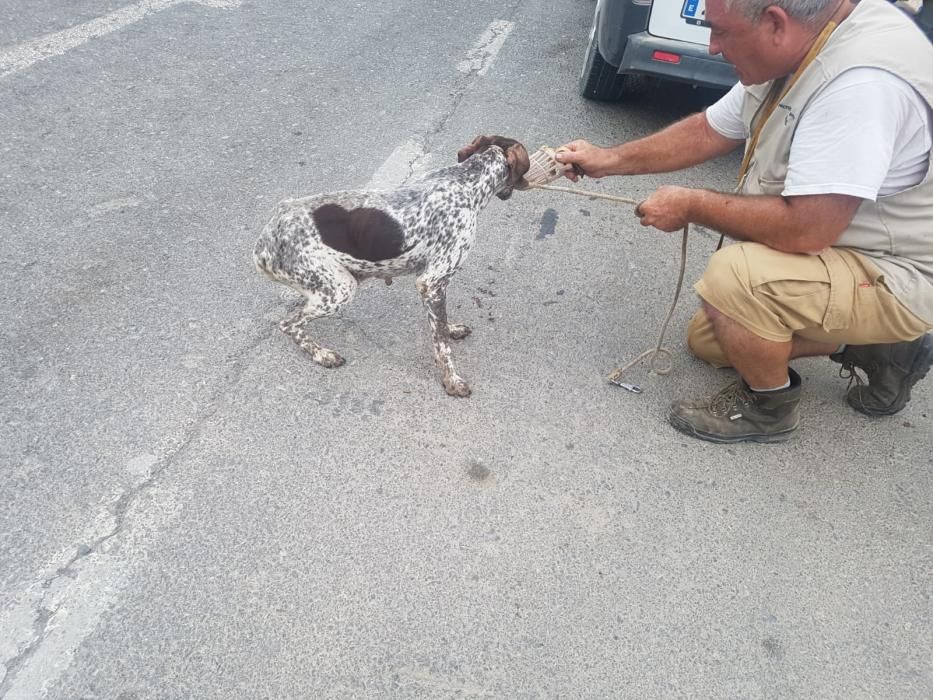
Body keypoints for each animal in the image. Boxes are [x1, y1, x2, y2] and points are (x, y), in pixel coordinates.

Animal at [255, 134, 528, 396]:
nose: (526, 183)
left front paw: (451, 329)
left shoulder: (433, 287)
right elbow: (442, 345)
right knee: (289, 324)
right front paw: (452, 381)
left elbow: (440, 324)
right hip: (340, 289)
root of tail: (265, 240)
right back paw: (323, 355)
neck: (466, 182)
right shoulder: (431, 282)